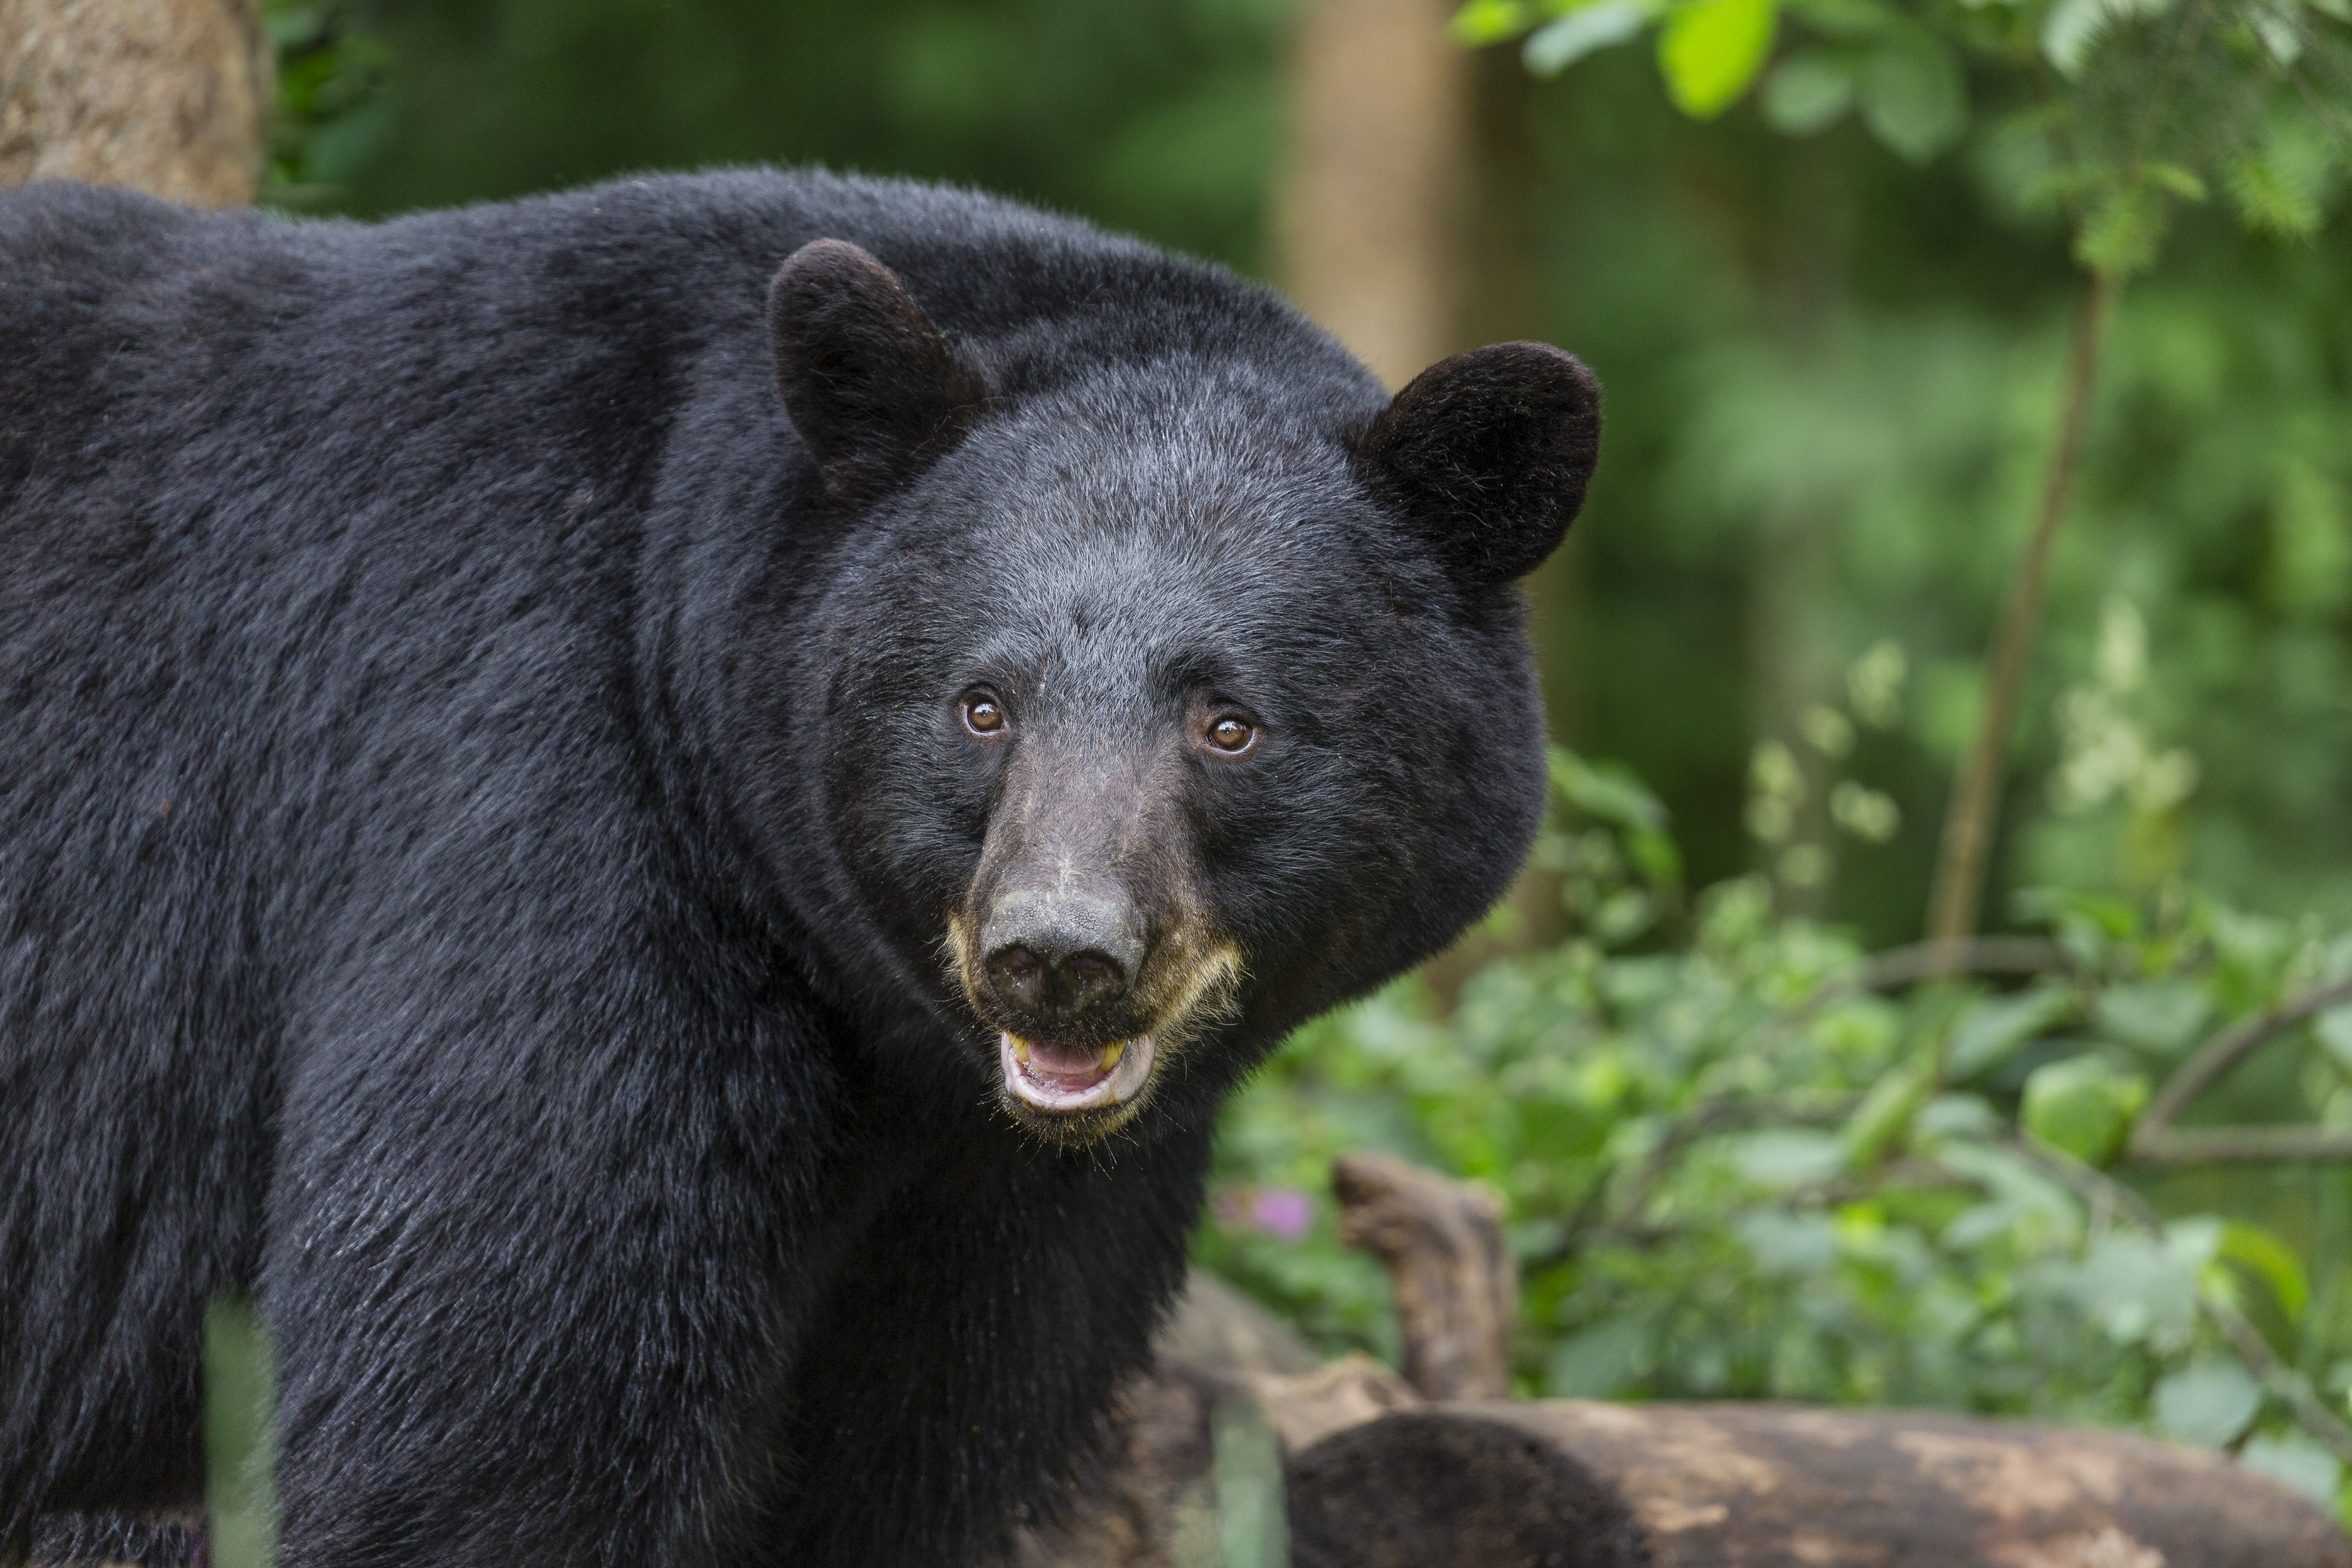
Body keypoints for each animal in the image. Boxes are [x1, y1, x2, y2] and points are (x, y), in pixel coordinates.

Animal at [0, 169, 1600, 1566]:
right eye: (981, 703)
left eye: (1229, 722)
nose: (1058, 955)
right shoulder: (546, 846)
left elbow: (906, 1458)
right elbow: (484, 1426)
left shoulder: (1007, 1213)